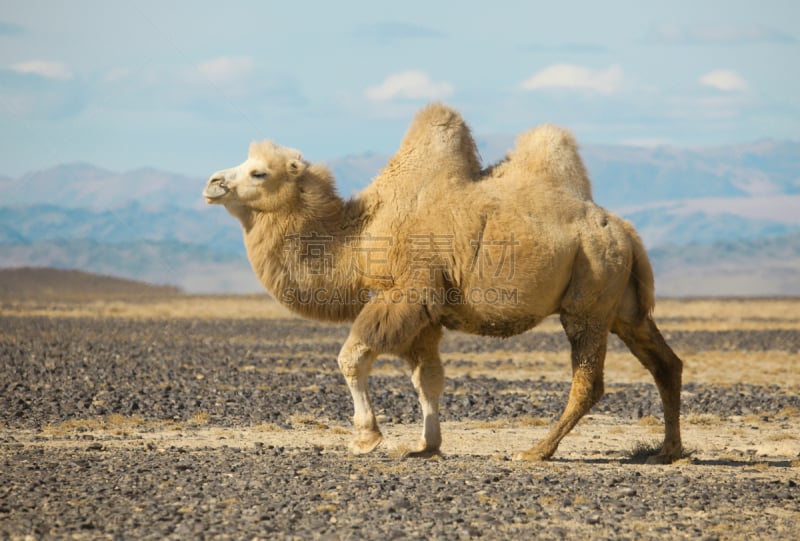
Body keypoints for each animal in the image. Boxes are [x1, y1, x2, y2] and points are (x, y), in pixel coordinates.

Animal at [203, 103, 684, 462]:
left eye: (259, 172)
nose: (212, 182)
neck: (362, 234)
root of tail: (625, 231)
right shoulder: (429, 313)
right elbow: (428, 377)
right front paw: (424, 445)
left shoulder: (406, 291)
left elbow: (352, 357)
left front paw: (365, 437)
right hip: (622, 305)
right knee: (666, 363)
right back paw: (668, 450)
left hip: (589, 295)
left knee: (589, 380)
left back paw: (537, 450)